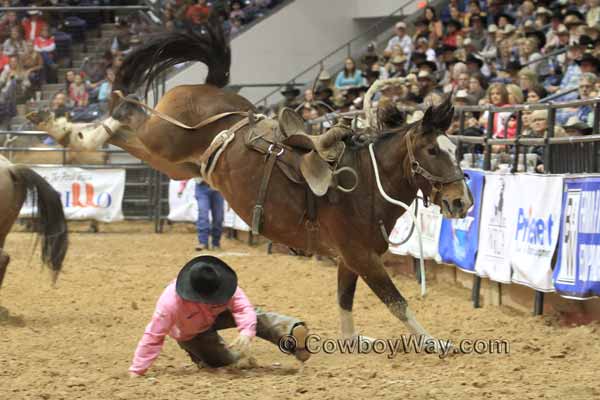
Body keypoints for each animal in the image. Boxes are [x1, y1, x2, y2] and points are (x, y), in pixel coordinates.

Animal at [29, 16, 474, 350]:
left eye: (457, 149)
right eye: (433, 151)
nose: (462, 202)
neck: (366, 182)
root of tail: (209, 87)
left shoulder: (349, 258)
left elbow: (345, 301)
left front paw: (352, 341)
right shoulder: (362, 257)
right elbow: (396, 302)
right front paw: (435, 343)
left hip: (176, 164)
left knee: (126, 132)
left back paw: (66, 129)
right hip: (165, 138)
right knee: (126, 118)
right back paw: (60, 123)